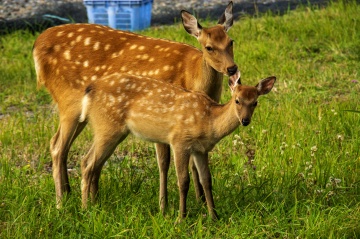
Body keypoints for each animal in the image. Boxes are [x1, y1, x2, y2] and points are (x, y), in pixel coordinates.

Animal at [31, 1, 239, 211]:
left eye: (231, 41)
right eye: (209, 47)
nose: (232, 68)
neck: (193, 76)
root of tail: (36, 46)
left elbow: (194, 162)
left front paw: (201, 202)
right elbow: (163, 162)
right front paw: (164, 207)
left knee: (67, 148)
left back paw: (73, 196)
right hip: (68, 101)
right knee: (57, 146)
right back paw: (61, 203)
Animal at [79, 72, 276, 220]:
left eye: (255, 102)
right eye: (237, 100)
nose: (245, 120)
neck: (209, 122)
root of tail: (90, 89)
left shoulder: (201, 150)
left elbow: (207, 180)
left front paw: (214, 216)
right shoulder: (180, 141)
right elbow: (183, 181)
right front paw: (182, 217)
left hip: (109, 130)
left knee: (91, 162)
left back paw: (94, 204)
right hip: (108, 127)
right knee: (88, 163)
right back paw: (86, 209)